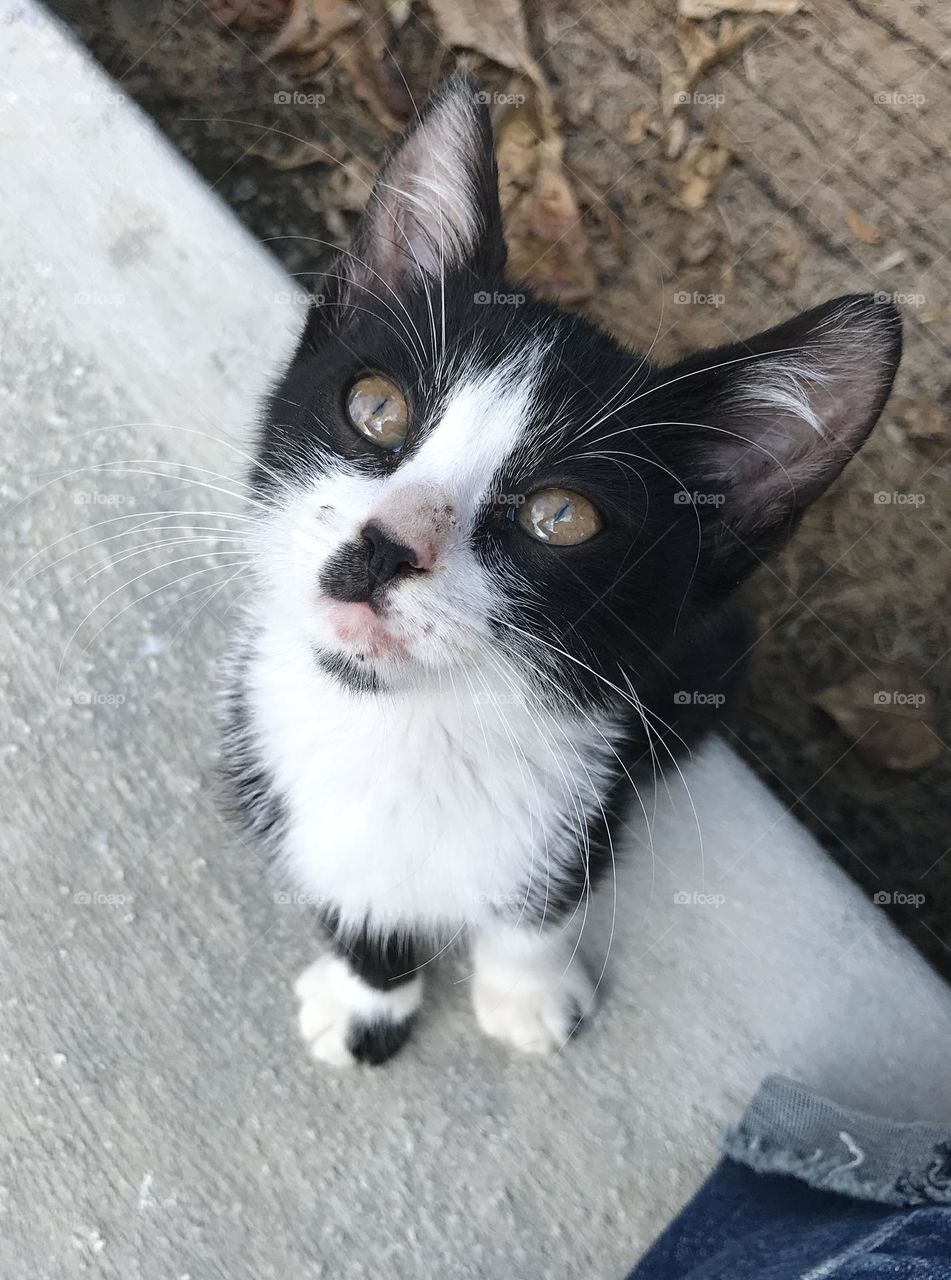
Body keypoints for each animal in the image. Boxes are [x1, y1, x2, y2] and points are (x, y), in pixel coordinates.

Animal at [222, 72, 901, 1070]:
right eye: (376, 408)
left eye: (561, 517)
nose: (385, 545)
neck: (405, 731)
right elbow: (357, 894)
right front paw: (367, 994)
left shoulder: (588, 773)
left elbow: (547, 891)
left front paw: (525, 991)